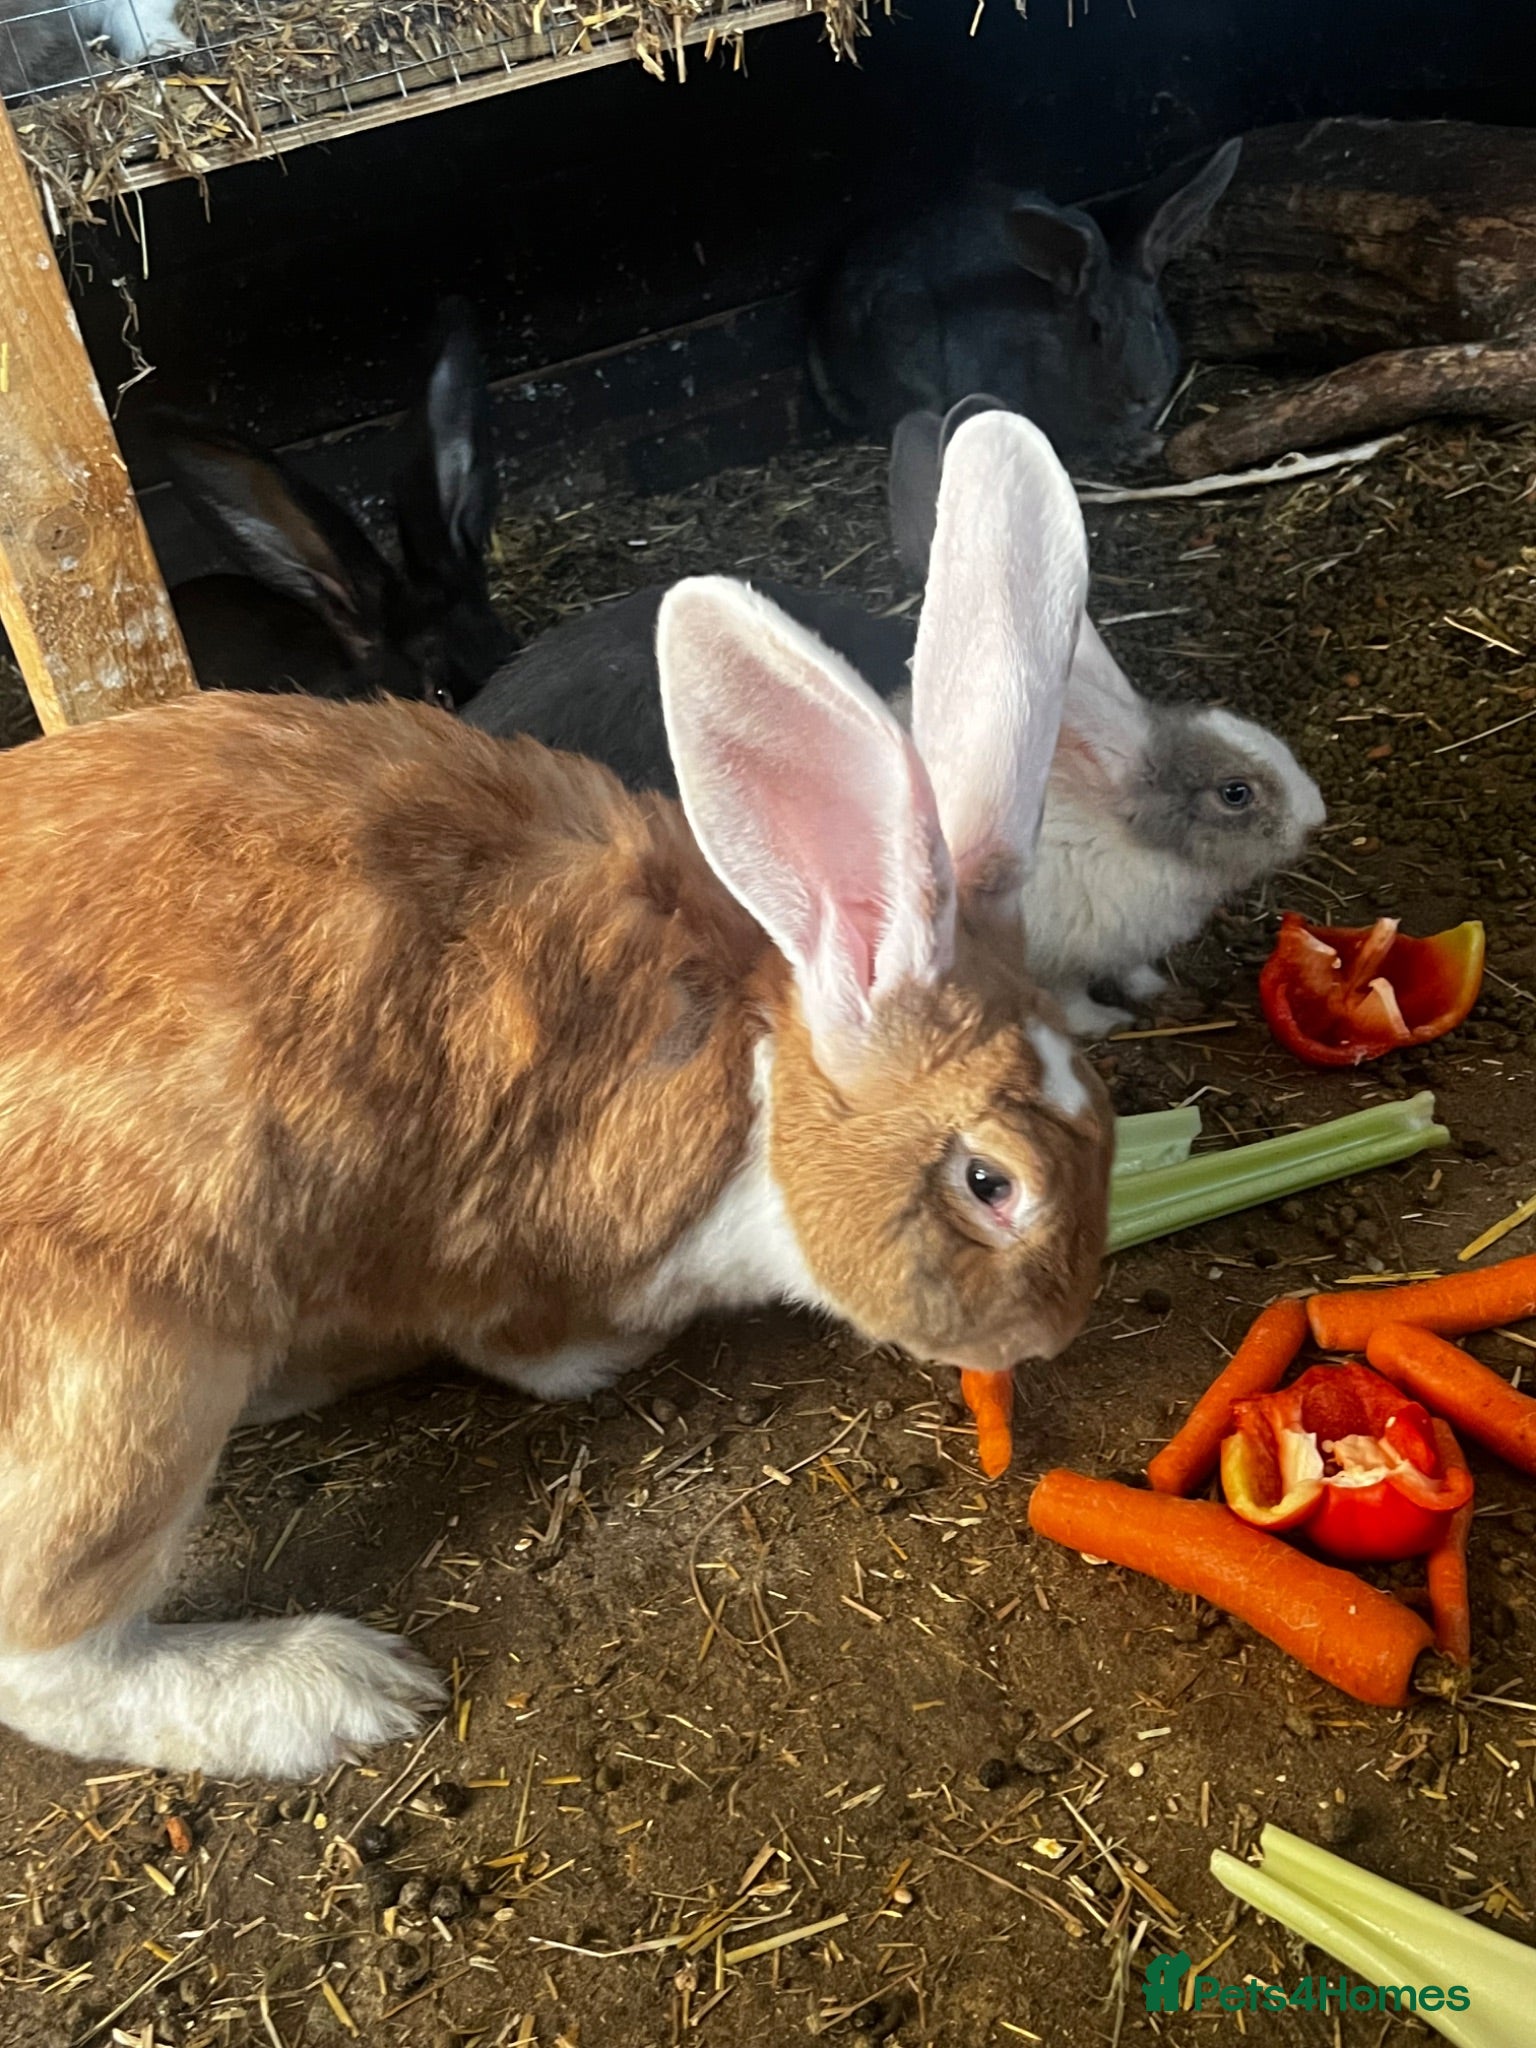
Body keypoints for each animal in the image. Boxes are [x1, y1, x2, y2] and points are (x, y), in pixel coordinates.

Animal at [0, 409, 1112, 1780]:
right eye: (989, 1180)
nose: (1054, 1329)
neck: (753, 1084)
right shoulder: (514, 1244)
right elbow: (524, 1338)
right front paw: (600, 1358)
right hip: (131, 1383)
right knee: (49, 1654)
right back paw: (331, 1684)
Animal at [462, 397, 1324, 1039]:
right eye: (1237, 793)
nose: (1316, 816)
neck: (1128, 833)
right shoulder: (1052, 959)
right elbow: (1074, 1002)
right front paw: (1106, 1027)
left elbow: (1137, 970)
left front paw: (1153, 994)